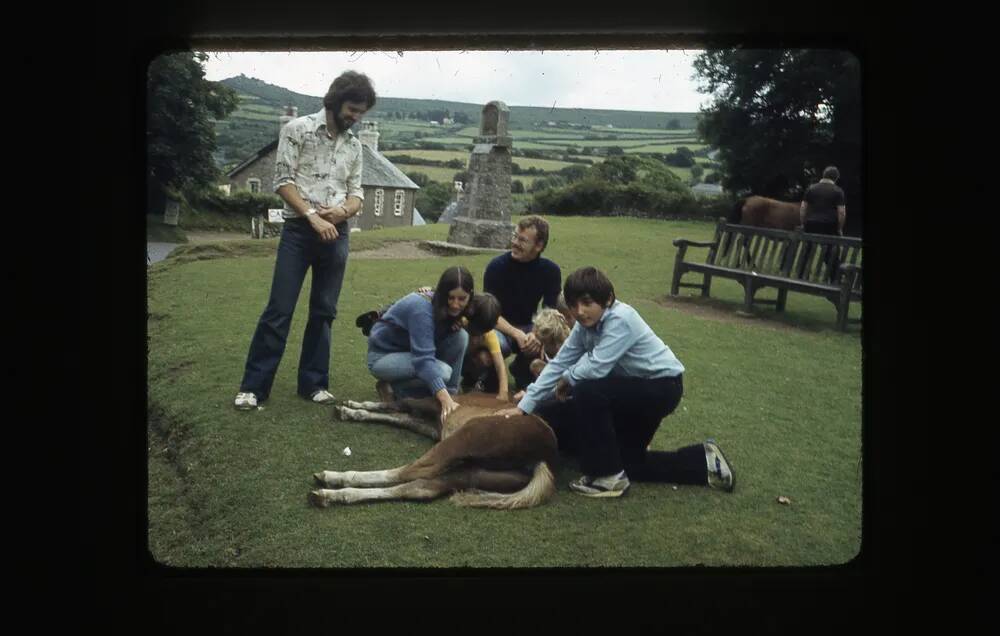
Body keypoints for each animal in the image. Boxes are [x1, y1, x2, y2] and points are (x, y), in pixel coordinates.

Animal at [308, 396, 560, 510]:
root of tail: (542, 457)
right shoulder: (433, 427)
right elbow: (401, 416)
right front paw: (352, 410)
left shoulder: (432, 409)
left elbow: (396, 405)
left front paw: (350, 408)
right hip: (473, 472)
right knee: (419, 488)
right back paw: (329, 495)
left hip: (463, 439)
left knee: (407, 473)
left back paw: (333, 479)